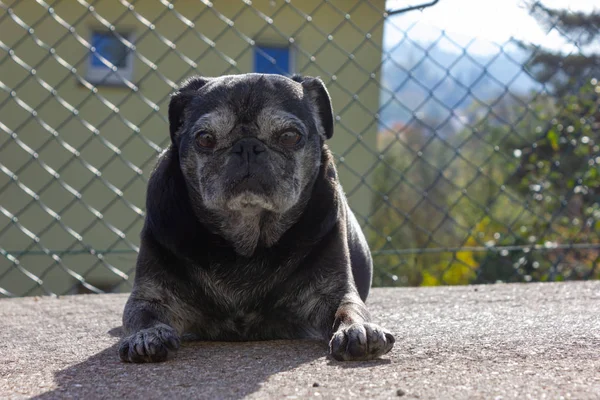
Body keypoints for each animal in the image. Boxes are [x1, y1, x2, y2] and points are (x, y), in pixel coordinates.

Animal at [119, 72, 396, 362]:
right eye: (205, 138)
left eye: (290, 136)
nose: (248, 145)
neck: (247, 236)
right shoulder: (151, 296)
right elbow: (144, 316)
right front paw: (147, 335)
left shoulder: (332, 293)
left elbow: (349, 309)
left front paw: (359, 330)